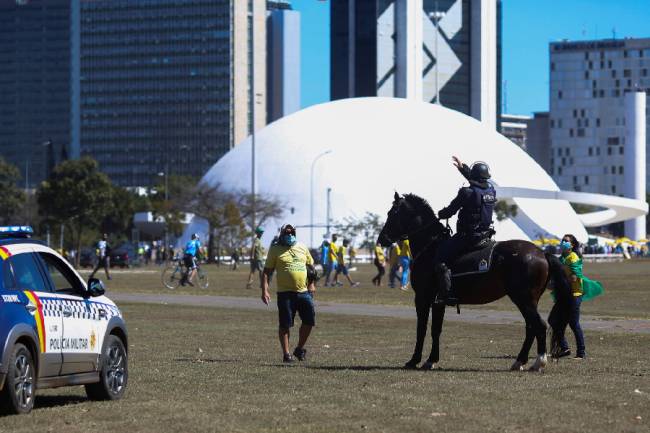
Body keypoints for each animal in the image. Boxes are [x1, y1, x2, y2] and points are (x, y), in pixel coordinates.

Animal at [378, 192, 568, 372]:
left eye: (392, 213)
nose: (381, 239)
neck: (430, 247)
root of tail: (542, 252)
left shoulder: (423, 299)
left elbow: (422, 329)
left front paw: (414, 360)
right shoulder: (438, 302)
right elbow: (436, 330)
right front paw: (431, 360)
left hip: (523, 299)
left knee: (539, 326)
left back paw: (539, 362)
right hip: (527, 300)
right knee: (531, 327)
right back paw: (519, 361)